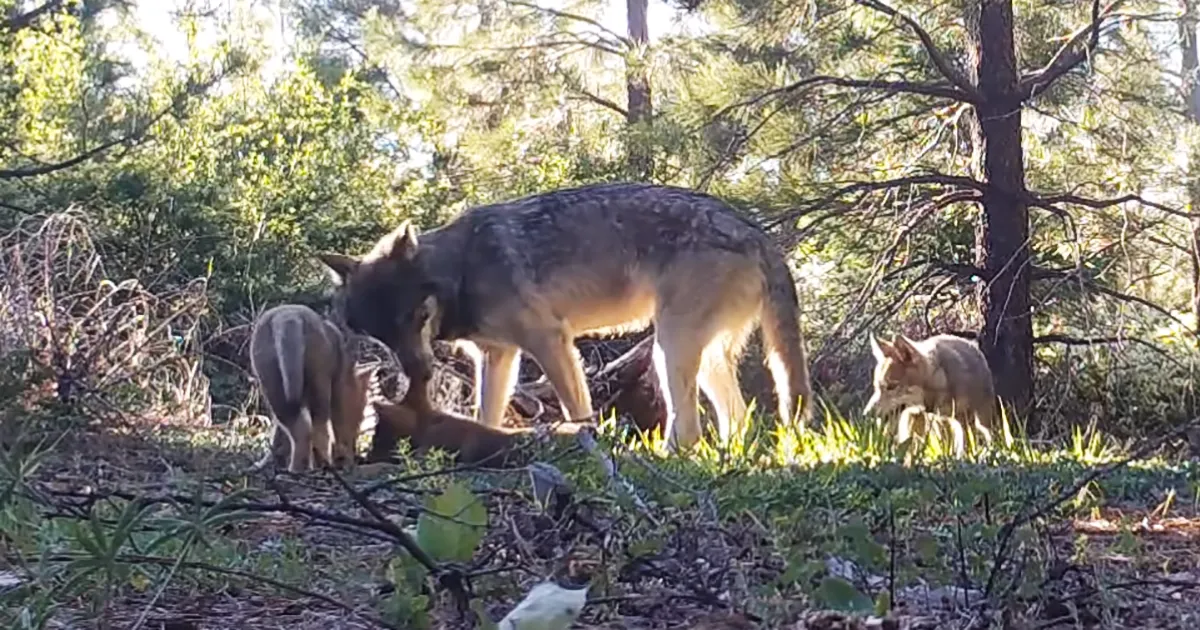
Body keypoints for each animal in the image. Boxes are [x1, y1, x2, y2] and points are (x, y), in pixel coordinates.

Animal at [249, 304, 375, 473]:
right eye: (361, 416)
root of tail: (288, 318)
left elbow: (278, 434)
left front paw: (266, 461)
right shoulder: (338, 391)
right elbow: (340, 427)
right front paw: (346, 460)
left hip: (272, 382)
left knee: (298, 429)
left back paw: (295, 468)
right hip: (318, 380)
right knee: (317, 428)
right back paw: (320, 464)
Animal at [317, 182, 813, 451]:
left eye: (416, 317)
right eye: (381, 337)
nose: (418, 371)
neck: (461, 268)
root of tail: (757, 232)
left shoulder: (550, 340)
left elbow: (578, 407)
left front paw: (585, 441)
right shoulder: (497, 357)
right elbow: (486, 414)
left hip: (668, 350)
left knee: (690, 429)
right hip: (697, 358)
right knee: (739, 419)